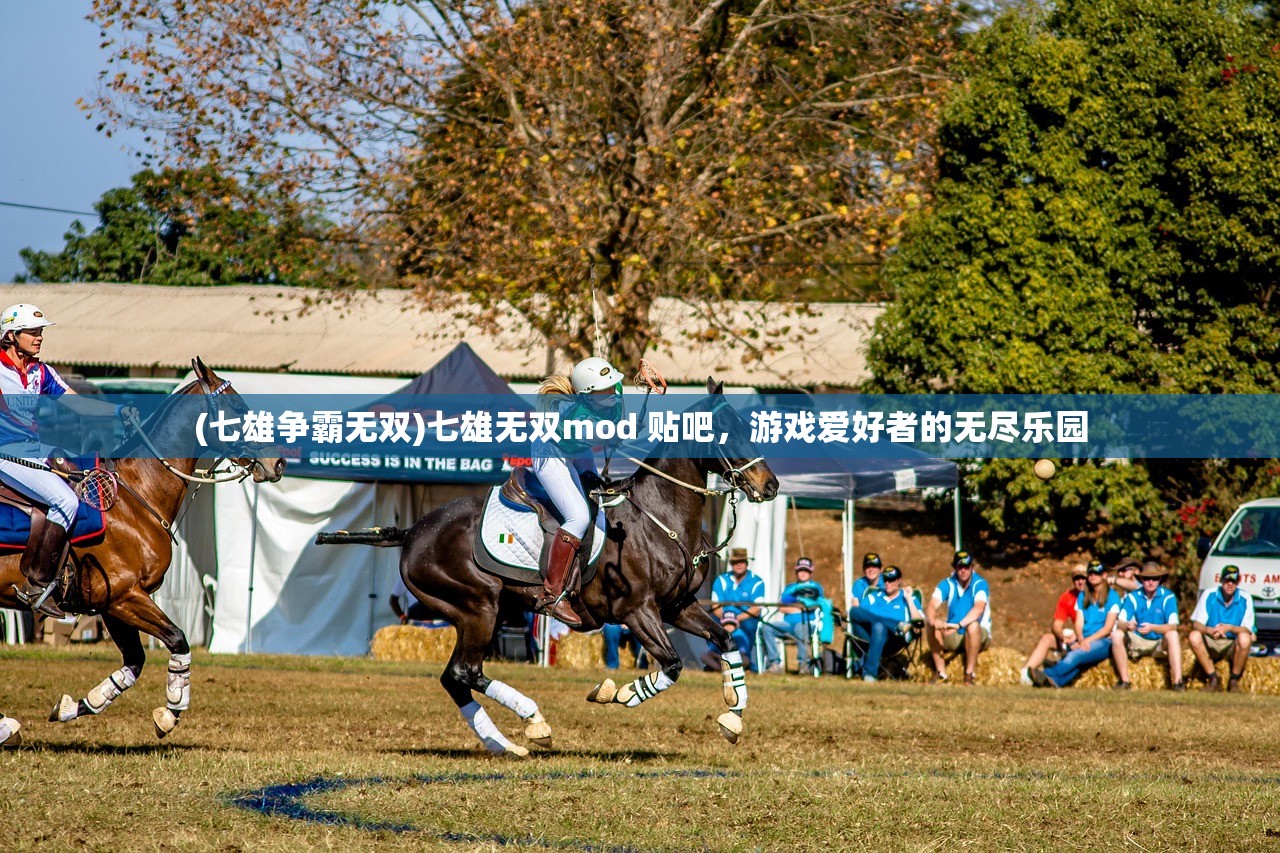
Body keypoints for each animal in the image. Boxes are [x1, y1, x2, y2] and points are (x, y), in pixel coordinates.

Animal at [0, 356, 282, 742]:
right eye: (237, 408)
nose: (277, 462)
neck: (139, 495)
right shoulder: (126, 595)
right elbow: (177, 640)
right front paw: (171, 711)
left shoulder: (109, 603)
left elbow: (133, 663)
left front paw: (74, 706)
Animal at [325, 376, 773, 753]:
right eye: (727, 430)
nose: (769, 486)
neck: (660, 517)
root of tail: (413, 531)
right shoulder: (637, 610)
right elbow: (674, 665)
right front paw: (618, 692)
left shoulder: (678, 606)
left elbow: (726, 641)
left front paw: (733, 716)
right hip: (477, 607)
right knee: (465, 672)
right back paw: (533, 721)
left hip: (483, 611)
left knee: (456, 676)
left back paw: (505, 744)